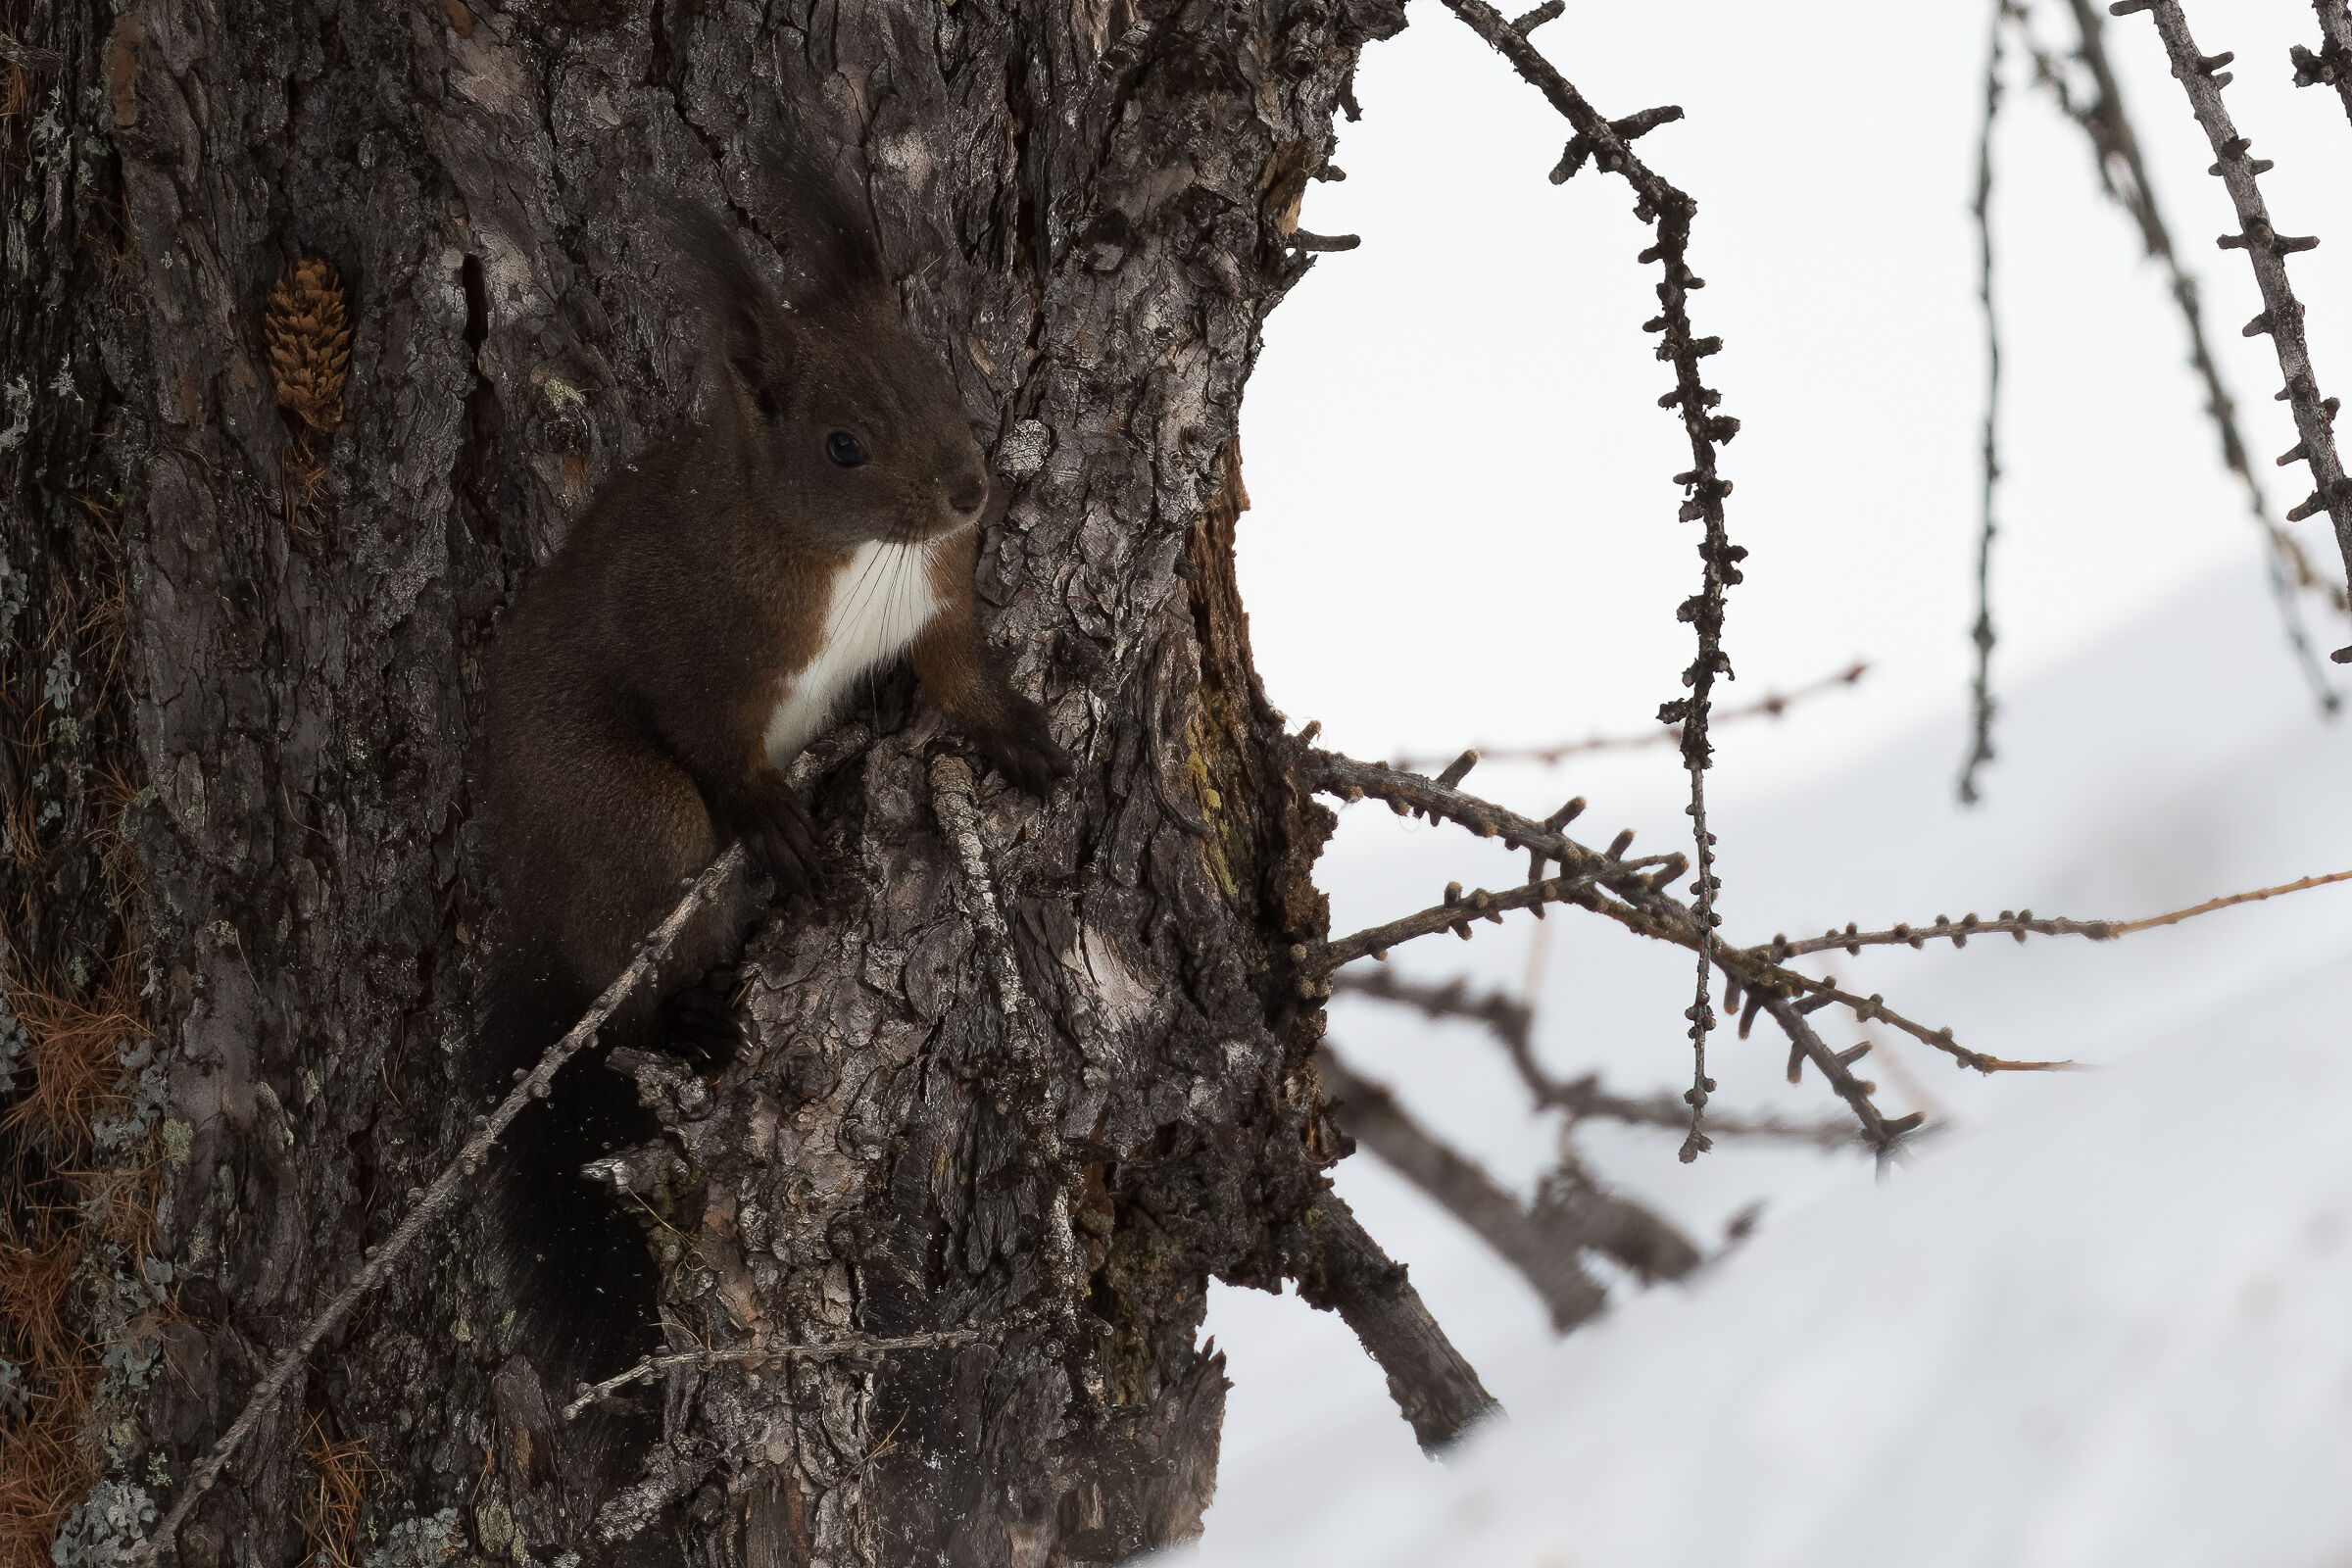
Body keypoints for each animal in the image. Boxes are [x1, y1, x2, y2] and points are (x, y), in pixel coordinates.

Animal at [470, 167, 1069, 1478]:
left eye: (936, 370)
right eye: (841, 444)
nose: (970, 491)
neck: (853, 563)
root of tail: (526, 912)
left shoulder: (938, 601)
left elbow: (961, 677)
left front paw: (1020, 737)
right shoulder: (693, 645)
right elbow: (715, 748)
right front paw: (777, 825)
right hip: (627, 825)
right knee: (629, 968)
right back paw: (686, 1014)